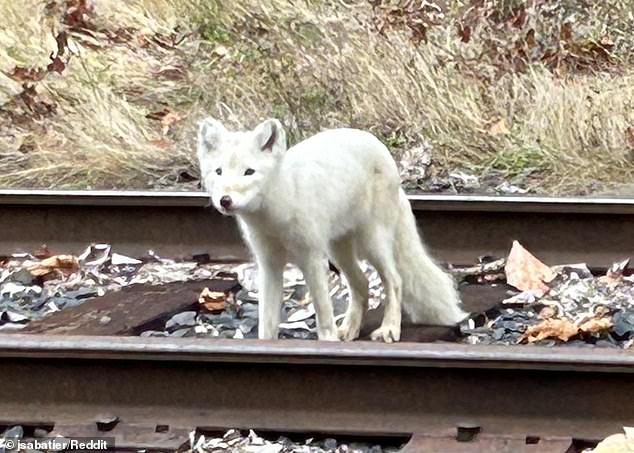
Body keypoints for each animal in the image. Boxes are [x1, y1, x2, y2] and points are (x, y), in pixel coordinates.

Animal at [195, 118, 466, 340]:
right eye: (218, 172)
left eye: (249, 172)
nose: (225, 201)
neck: (276, 213)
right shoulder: (269, 264)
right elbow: (267, 323)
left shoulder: (312, 259)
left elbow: (323, 316)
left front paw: (328, 343)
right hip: (339, 251)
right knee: (362, 284)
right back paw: (349, 330)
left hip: (372, 244)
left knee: (394, 280)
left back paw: (389, 329)